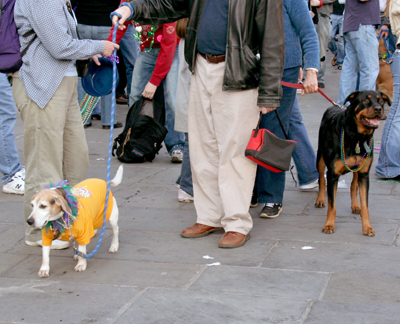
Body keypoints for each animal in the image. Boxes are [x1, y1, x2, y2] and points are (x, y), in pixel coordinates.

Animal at [316, 90, 390, 237]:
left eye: (381, 101)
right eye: (365, 101)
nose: (378, 109)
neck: (356, 136)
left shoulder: (364, 174)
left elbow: (365, 205)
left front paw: (367, 227)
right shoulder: (332, 174)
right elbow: (332, 205)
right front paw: (329, 225)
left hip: (359, 168)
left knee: (353, 184)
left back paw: (356, 205)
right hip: (320, 158)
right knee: (321, 178)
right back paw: (320, 199)